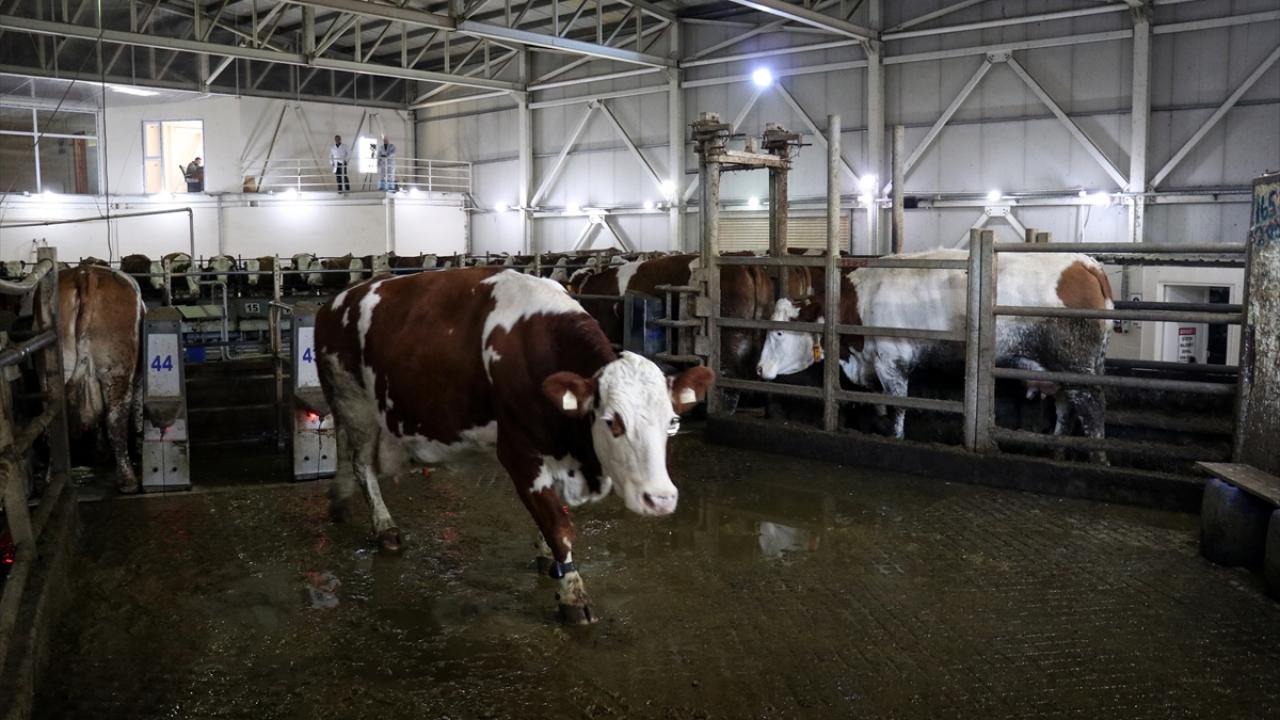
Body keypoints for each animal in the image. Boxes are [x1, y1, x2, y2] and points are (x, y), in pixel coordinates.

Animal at [316, 267, 713, 623]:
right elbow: (558, 525)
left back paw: (339, 500)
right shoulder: (519, 452)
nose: (660, 499)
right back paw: (384, 527)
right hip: (353, 399)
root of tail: (336, 302)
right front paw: (572, 593)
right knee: (362, 464)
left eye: (672, 422)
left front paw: (547, 556)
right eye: (612, 421)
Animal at [755, 249, 1113, 441]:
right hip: (1061, 372)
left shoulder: (891, 360)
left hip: (1076, 367)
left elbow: (898, 406)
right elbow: (878, 403)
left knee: (1094, 417)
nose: (758, 368)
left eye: (778, 333)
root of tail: (1084, 262)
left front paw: (896, 436)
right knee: (1066, 413)